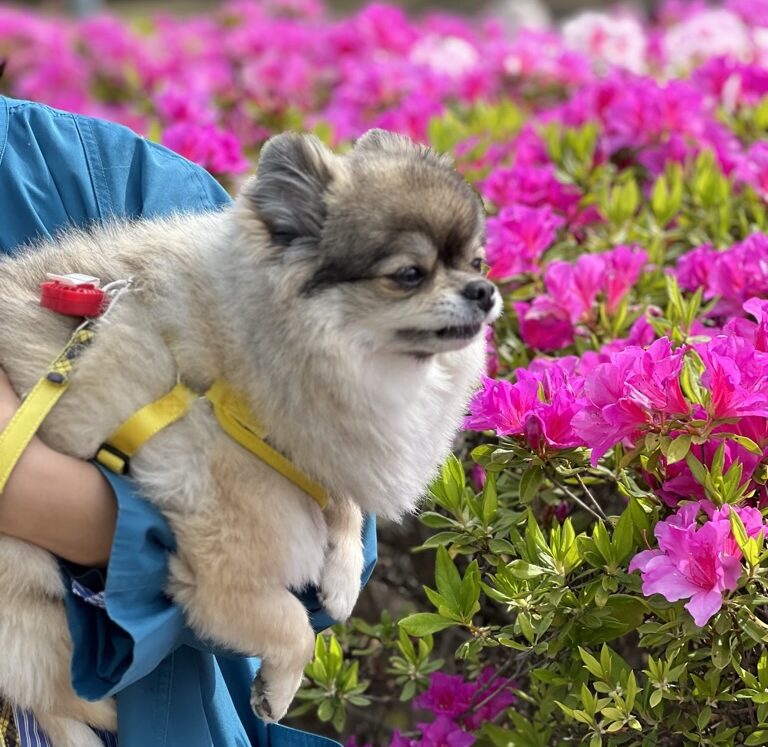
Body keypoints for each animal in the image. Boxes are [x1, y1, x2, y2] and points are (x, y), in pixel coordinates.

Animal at [0, 131, 498, 744]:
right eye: (409, 274)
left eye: (476, 261)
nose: (484, 290)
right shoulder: (225, 563)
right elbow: (291, 626)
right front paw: (278, 688)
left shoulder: (322, 452)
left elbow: (343, 506)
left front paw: (342, 578)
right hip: (25, 582)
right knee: (50, 690)